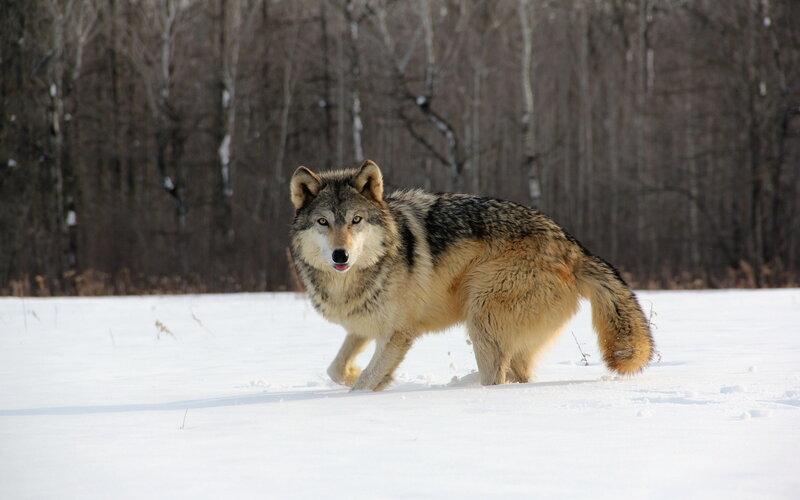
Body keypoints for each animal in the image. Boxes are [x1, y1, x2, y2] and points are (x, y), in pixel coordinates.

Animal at [289, 160, 654, 391]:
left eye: (356, 220)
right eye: (323, 222)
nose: (340, 255)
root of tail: (574, 248)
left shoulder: (398, 334)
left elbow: (365, 383)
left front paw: (362, 390)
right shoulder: (364, 325)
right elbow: (336, 368)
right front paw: (357, 375)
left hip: (482, 316)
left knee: (497, 378)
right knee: (517, 375)